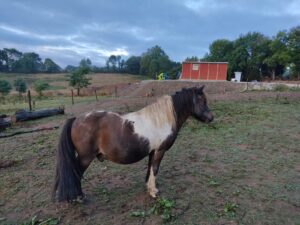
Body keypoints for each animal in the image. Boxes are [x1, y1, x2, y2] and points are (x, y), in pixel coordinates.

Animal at [53, 86, 213, 202]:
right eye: (202, 101)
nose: (211, 118)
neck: (162, 120)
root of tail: (76, 119)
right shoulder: (160, 151)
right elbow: (155, 169)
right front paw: (153, 192)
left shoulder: (152, 151)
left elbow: (149, 169)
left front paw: (148, 187)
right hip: (85, 158)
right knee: (76, 173)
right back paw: (79, 197)